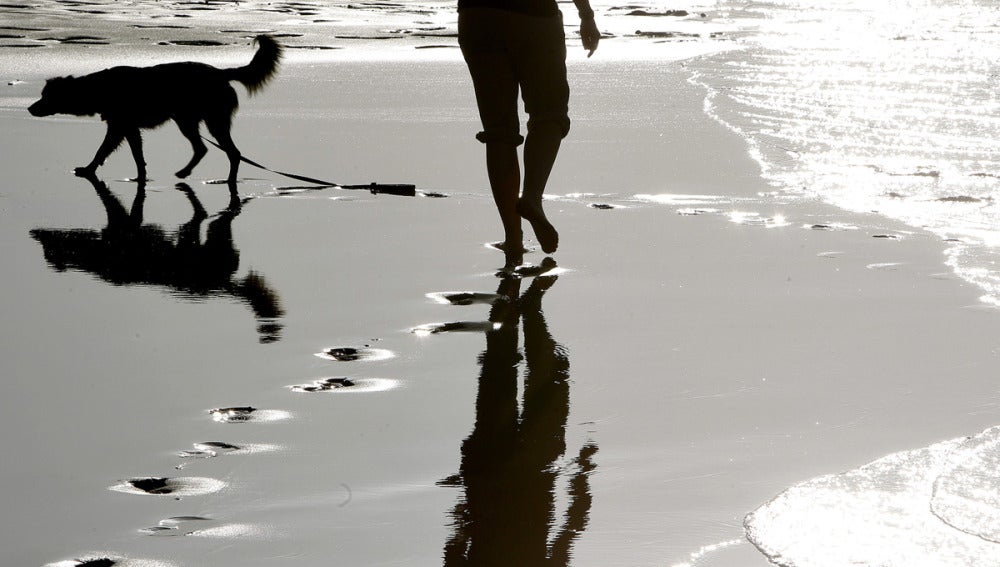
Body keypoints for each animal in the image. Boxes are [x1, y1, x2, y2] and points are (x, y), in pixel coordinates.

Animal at [29, 36, 280, 183]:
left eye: (45, 96)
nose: (30, 108)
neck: (98, 88)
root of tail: (220, 72)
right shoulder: (129, 129)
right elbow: (137, 156)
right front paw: (141, 177)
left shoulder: (120, 127)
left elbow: (102, 150)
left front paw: (89, 170)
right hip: (188, 120)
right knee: (204, 149)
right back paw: (186, 173)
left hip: (208, 121)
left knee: (231, 152)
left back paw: (226, 181)